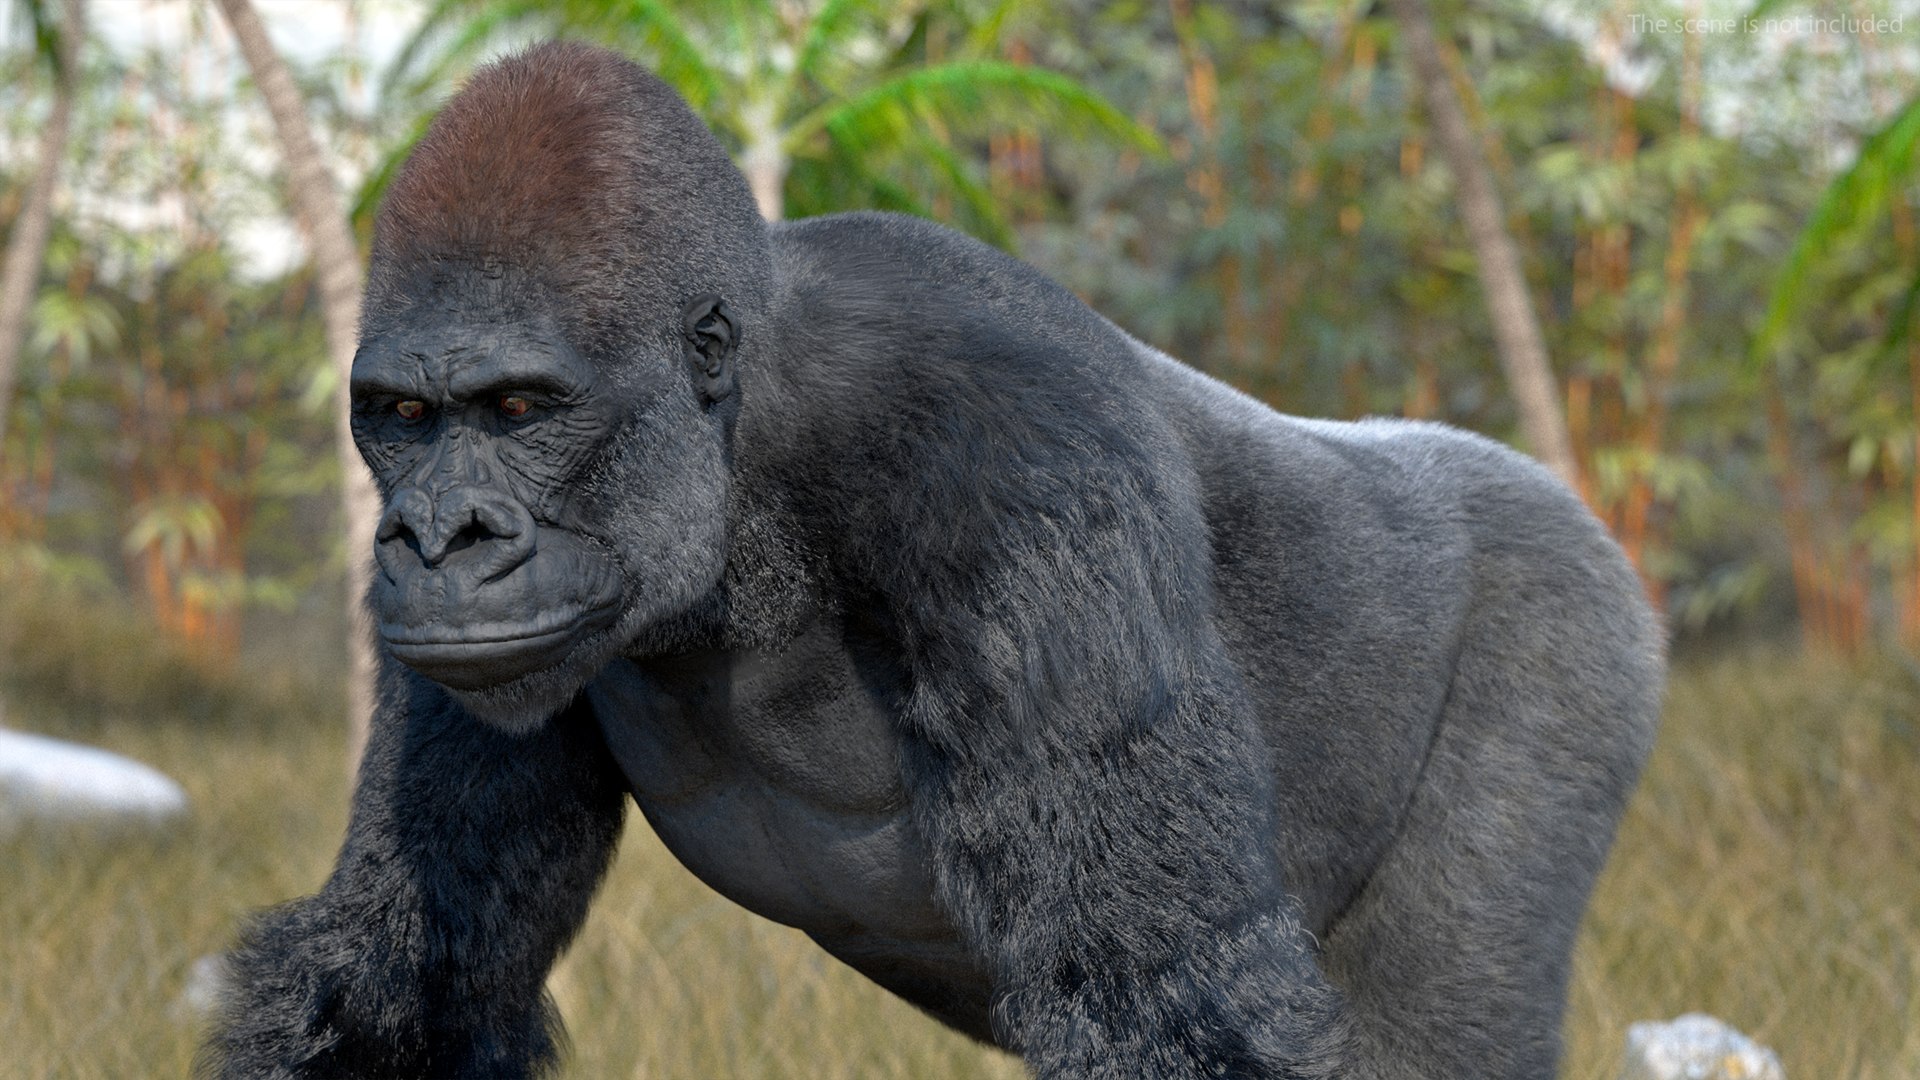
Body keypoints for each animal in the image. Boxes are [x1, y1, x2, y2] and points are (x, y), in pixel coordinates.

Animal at [201, 41, 1661, 1080]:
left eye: (517, 409)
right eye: (400, 416)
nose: (436, 537)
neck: (752, 437)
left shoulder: (1014, 450)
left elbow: (1165, 1002)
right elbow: (402, 986)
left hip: (1575, 627)